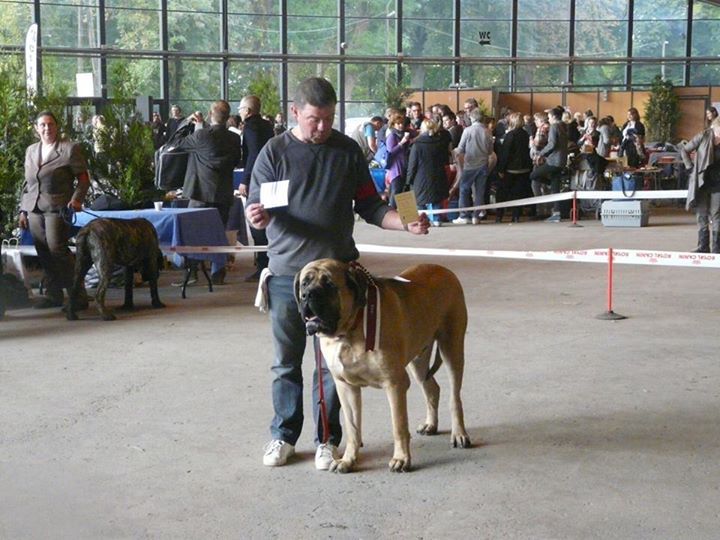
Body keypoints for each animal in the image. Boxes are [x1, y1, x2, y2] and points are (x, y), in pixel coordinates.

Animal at [294, 258, 472, 472]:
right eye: (304, 283)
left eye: (329, 284)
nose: (307, 295)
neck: (350, 330)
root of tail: (445, 270)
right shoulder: (346, 386)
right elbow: (352, 428)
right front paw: (348, 460)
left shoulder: (394, 383)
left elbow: (399, 425)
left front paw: (401, 459)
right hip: (418, 359)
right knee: (432, 388)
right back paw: (431, 424)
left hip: (452, 348)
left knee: (455, 397)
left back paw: (459, 434)